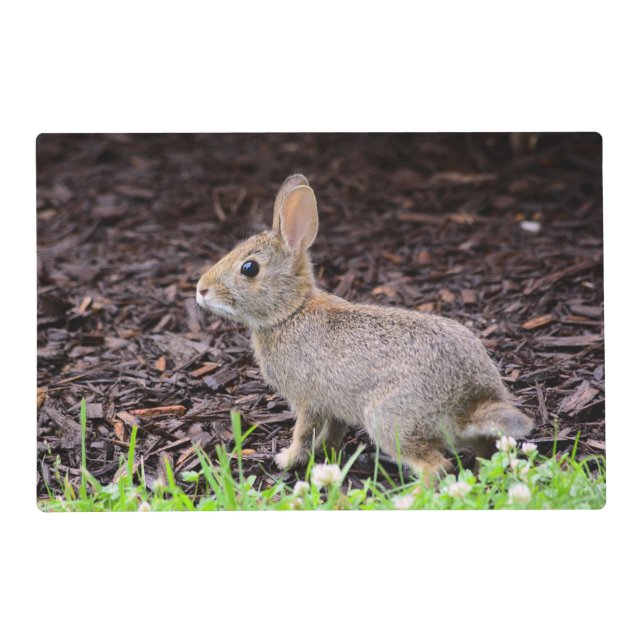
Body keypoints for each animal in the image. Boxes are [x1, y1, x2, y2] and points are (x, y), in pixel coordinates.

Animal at [196, 174, 533, 478]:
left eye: (249, 268)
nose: (200, 289)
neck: (290, 312)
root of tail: (469, 403)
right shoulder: (332, 406)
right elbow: (332, 432)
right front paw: (326, 454)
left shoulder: (308, 401)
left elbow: (303, 433)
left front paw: (286, 460)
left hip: (389, 420)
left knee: (436, 468)